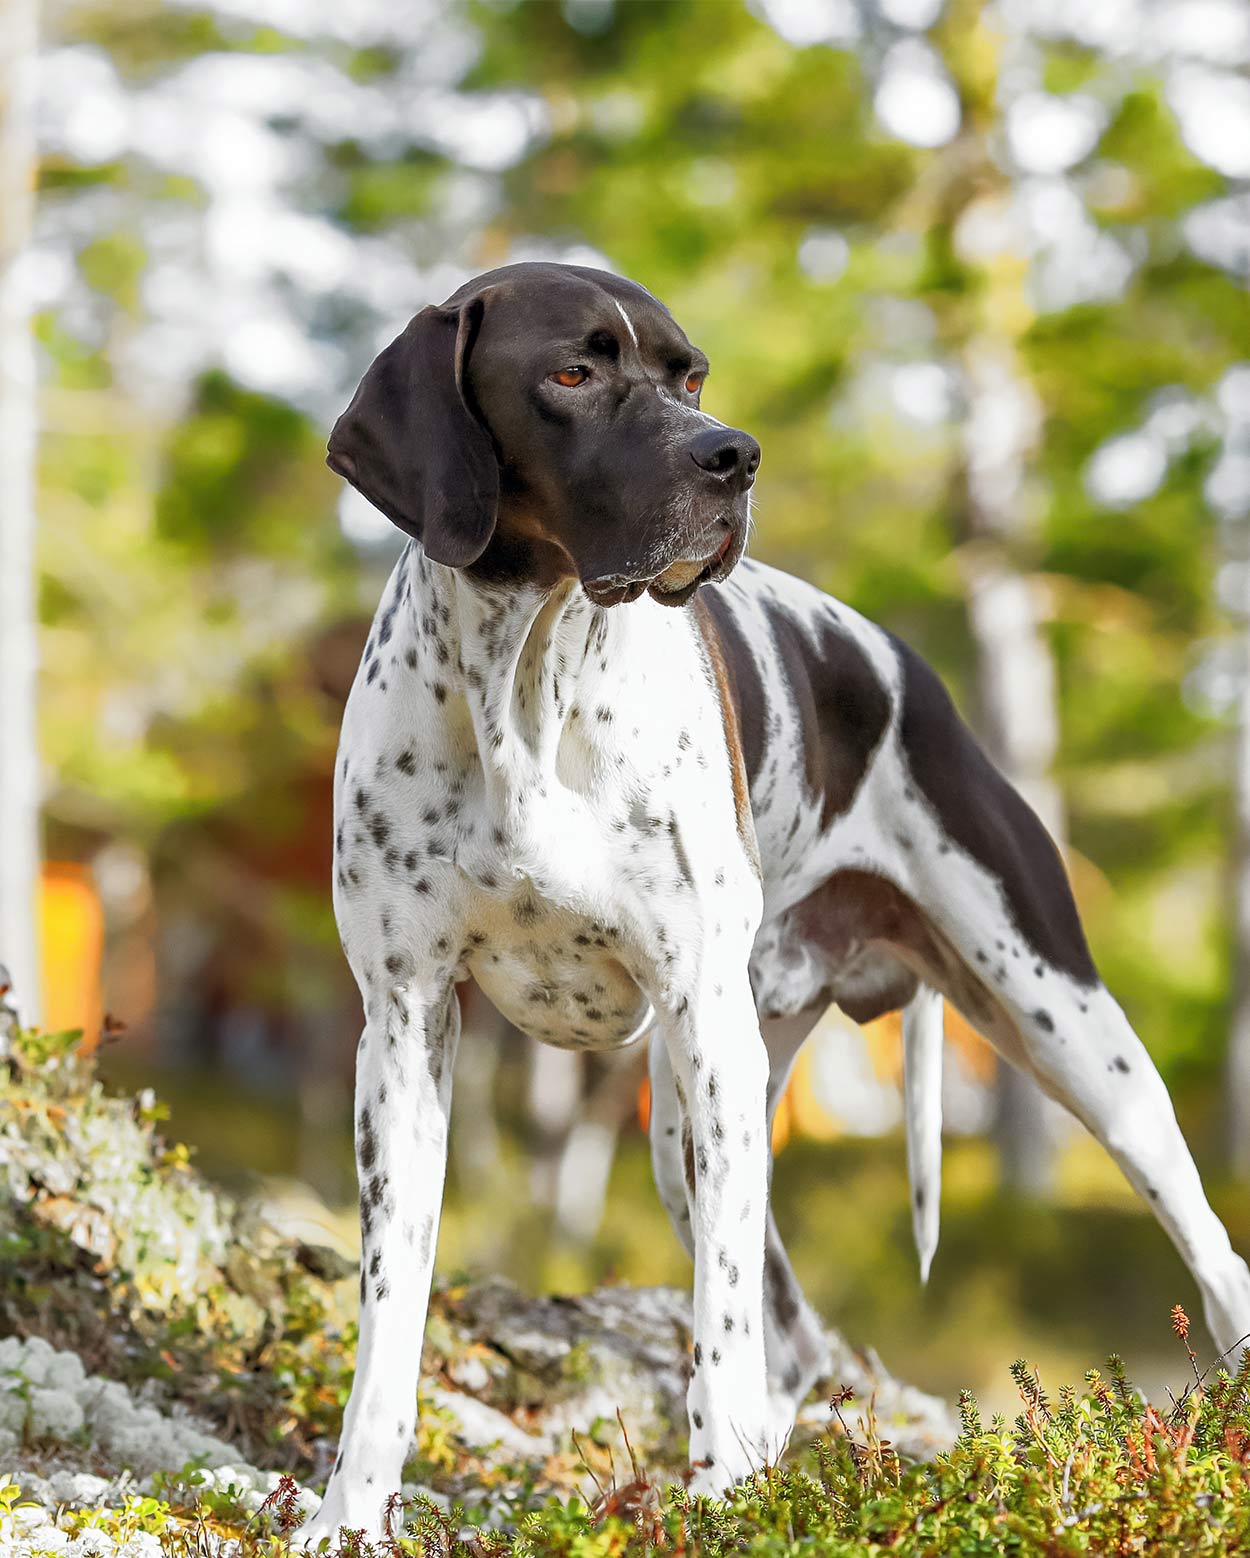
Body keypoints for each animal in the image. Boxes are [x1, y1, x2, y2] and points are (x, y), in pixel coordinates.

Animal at [299, 261, 1246, 1539]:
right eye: (570, 372)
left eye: (690, 375)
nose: (732, 456)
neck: (529, 680)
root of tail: (905, 664)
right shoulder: (403, 1030)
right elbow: (391, 1312)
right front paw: (347, 1512)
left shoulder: (703, 1024)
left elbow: (721, 1314)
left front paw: (716, 1495)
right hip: (688, 1114)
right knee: (787, 1338)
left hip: (1062, 1039)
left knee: (1209, 1255)